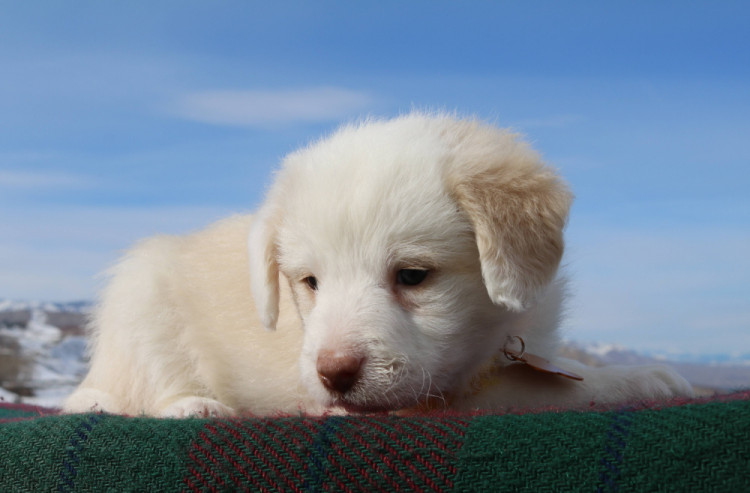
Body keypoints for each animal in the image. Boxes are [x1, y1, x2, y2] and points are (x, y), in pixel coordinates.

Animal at [64, 113, 693, 417]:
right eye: (310, 283)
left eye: (413, 276)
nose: (333, 376)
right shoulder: (451, 397)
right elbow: (549, 390)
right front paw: (638, 378)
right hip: (141, 299)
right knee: (143, 387)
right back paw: (193, 404)